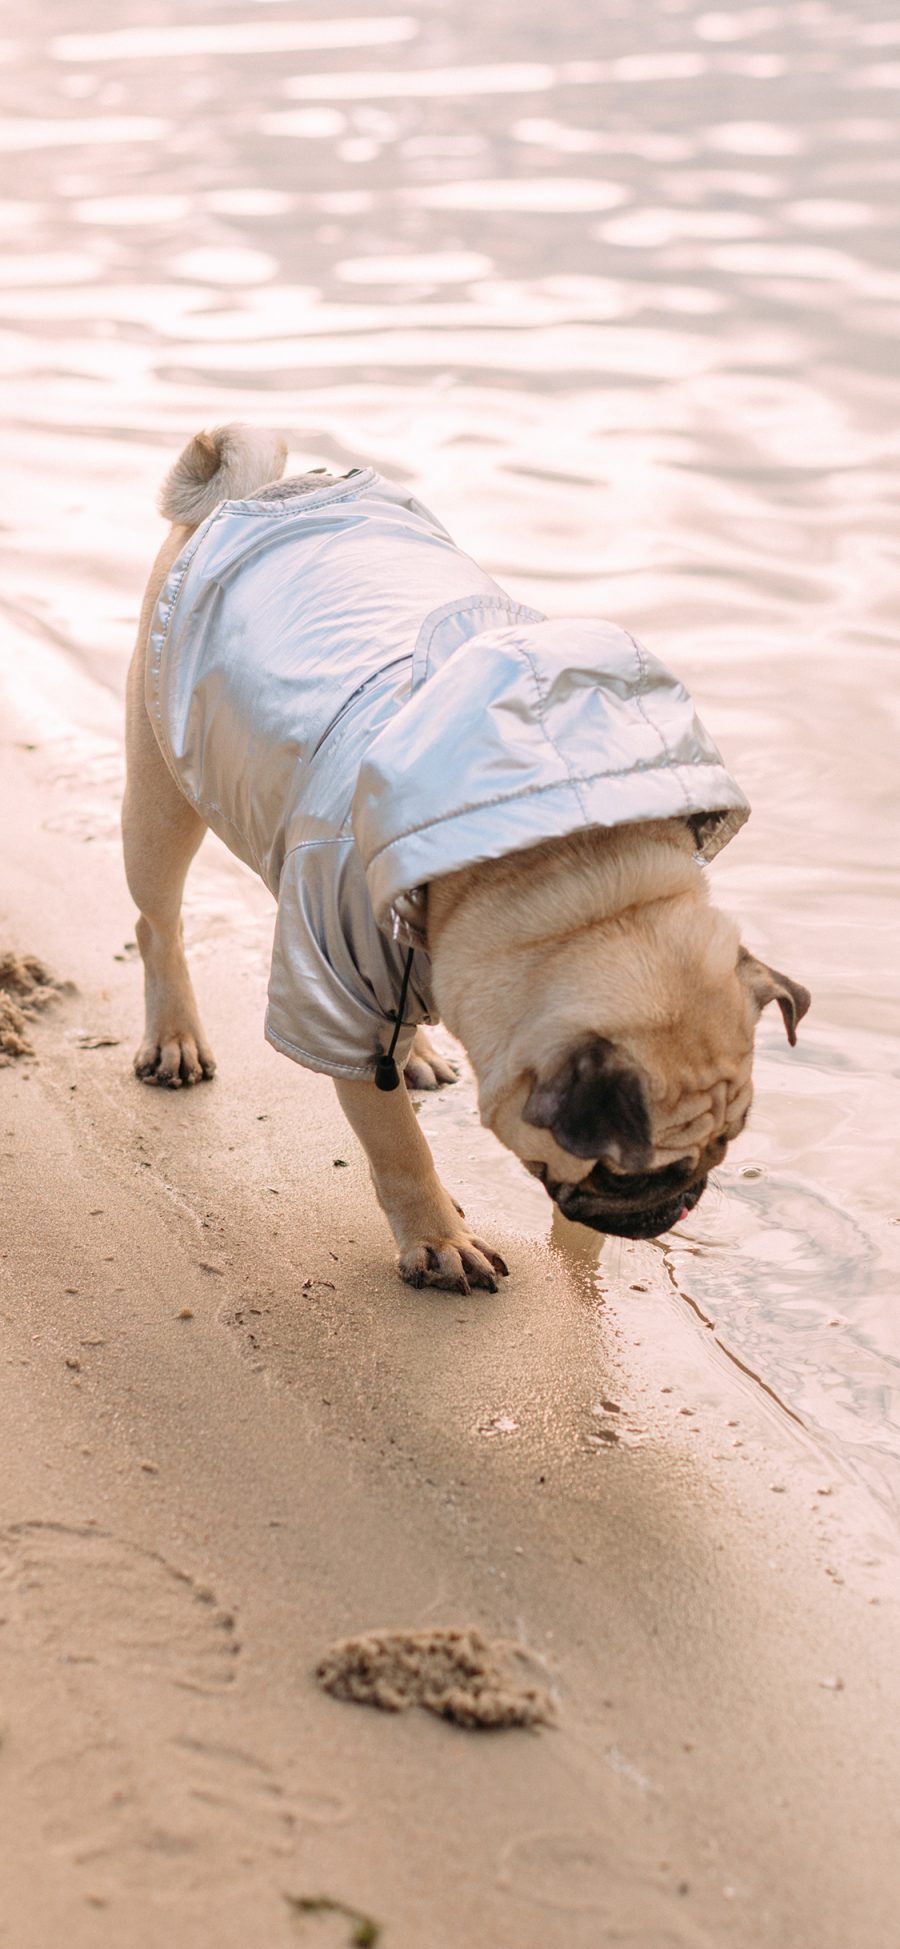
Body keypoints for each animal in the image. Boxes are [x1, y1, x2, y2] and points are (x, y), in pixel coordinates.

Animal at [124, 426, 810, 1294]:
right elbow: (397, 1142)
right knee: (158, 921)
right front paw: (438, 1237)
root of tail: (250, 492)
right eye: (636, 1172)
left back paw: (416, 1050)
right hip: (159, 802)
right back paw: (175, 1034)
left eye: (726, 1146)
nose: (683, 1201)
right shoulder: (332, 991)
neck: (569, 881)